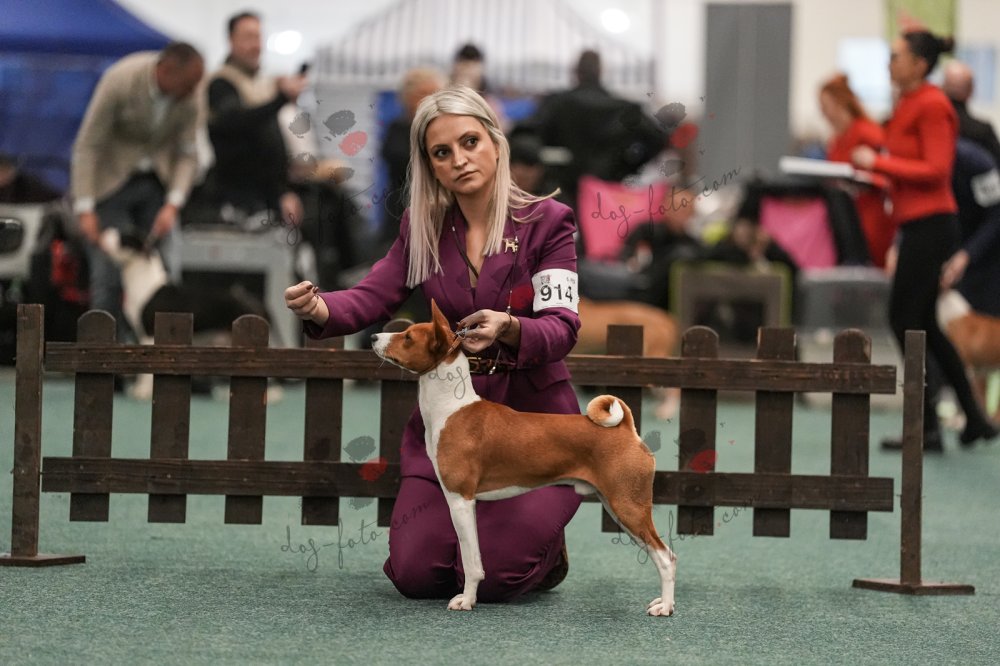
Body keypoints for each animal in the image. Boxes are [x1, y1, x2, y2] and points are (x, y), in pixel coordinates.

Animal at [99, 227, 272, 399]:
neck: (142, 278)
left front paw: (142, 392)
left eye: (123, 237)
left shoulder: (148, 331)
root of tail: (253, 300)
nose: (105, 232)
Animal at [372, 300, 676, 615]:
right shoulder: (466, 502)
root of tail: (627, 429)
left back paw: (665, 606)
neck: (451, 409)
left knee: (666, 557)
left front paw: (466, 600)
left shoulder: (460, 499)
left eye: (408, 337)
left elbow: (470, 562)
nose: (372, 337)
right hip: (616, 505)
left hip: (628, 506)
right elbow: (476, 559)